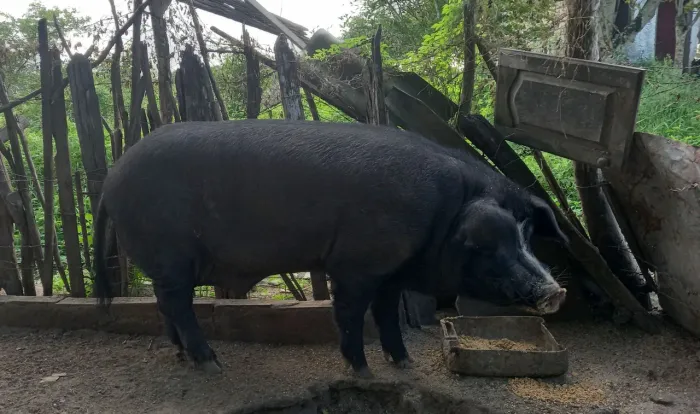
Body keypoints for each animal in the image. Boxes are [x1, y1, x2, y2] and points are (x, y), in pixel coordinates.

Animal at [93, 119, 568, 378]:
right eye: (491, 243)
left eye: (527, 235)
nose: (555, 291)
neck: (443, 215)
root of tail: (110, 178)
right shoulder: (355, 264)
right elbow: (352, 314)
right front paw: (362, 372)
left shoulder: (390, 272)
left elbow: (387, 313)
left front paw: (404, 364)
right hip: (169, 254)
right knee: (178, 304)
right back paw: (211, 364)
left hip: (164, 264)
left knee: (166, 305)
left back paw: (183, 356)